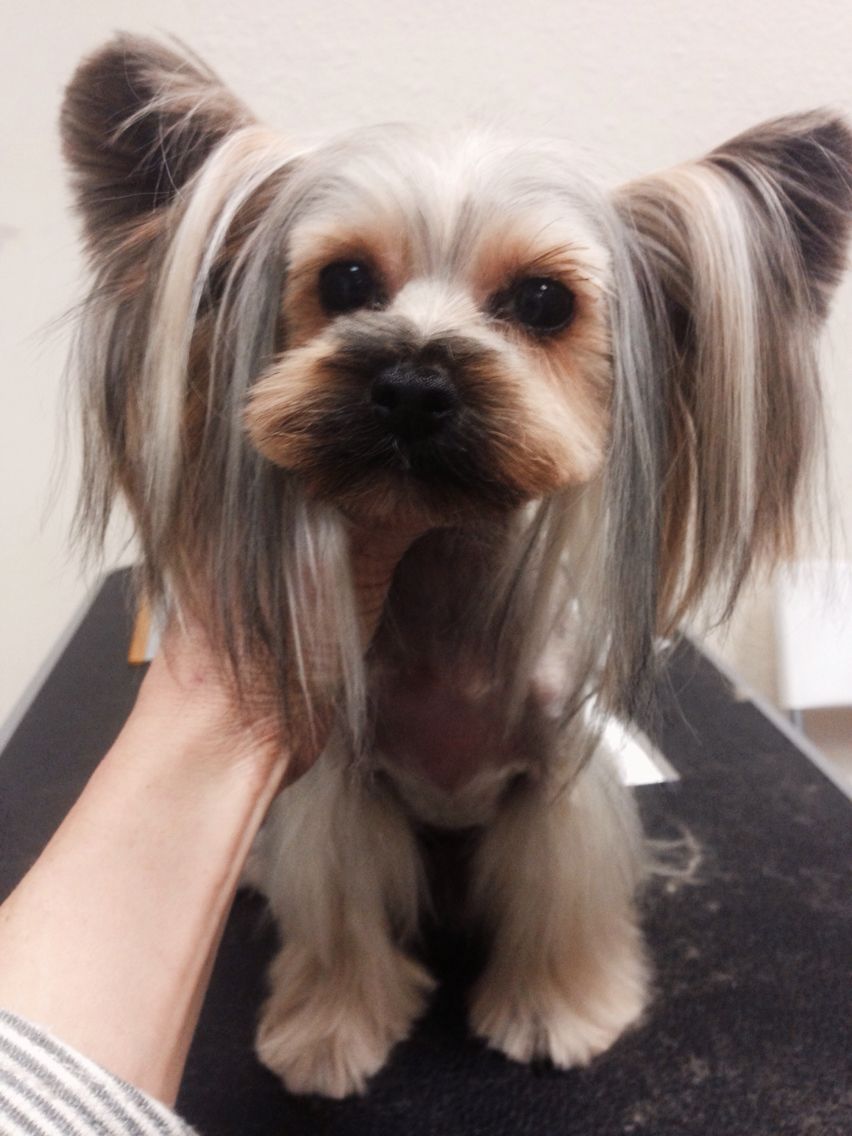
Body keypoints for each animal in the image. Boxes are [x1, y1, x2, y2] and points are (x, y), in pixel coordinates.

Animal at [61, 37, 852, 1099]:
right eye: (346, 280)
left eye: (545, 301)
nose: (412, 382)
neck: (438, 588)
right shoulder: (347, 784)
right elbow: (340, 909)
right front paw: (330, 1028)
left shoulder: (551, 781)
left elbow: (557, 892)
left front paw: (556, 1009)